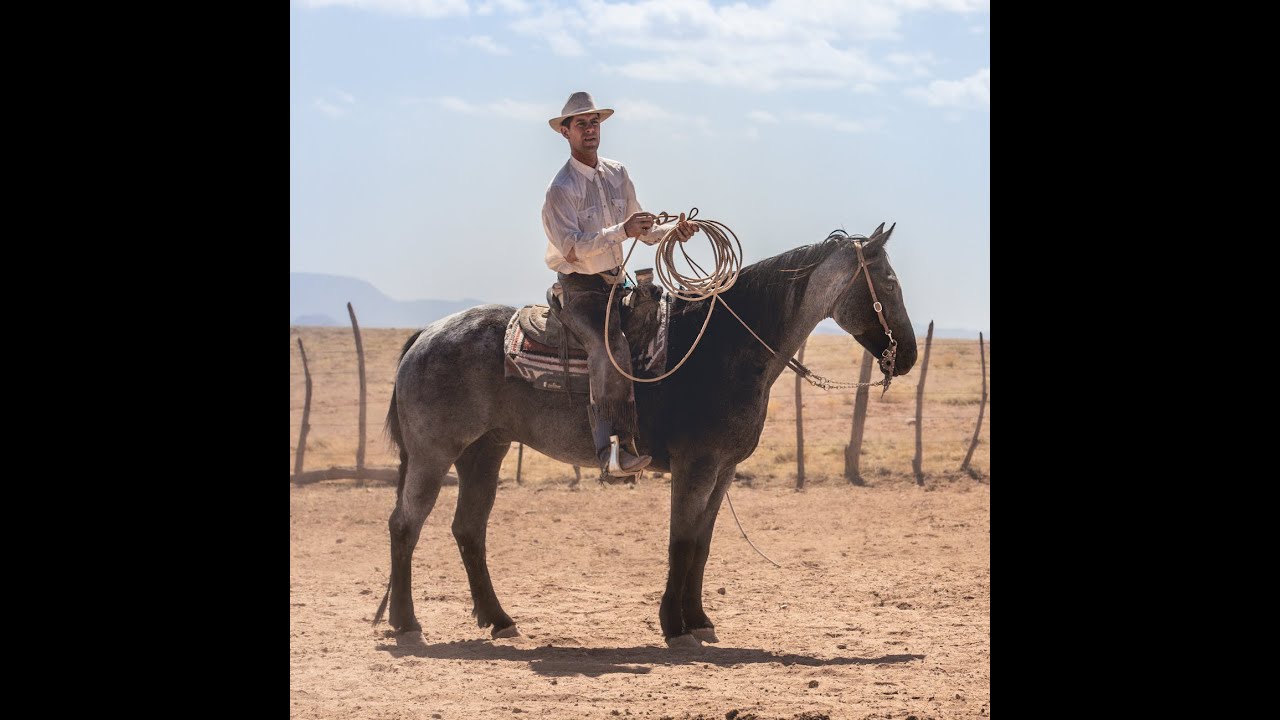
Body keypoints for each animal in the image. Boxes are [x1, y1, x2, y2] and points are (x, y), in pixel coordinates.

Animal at [378, 223, 917, 648]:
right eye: (889, 282)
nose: (909, 355)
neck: (725, 345)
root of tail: (426, 333)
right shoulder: (695, 465)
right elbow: (680, 541)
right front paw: (674, 627)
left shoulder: (722, 469)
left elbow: (702, 543)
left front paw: (699, 620)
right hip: (433, 453)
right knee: (405, 525)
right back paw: (407, 624)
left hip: (484, 451)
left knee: (468, 529)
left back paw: (498, 620)